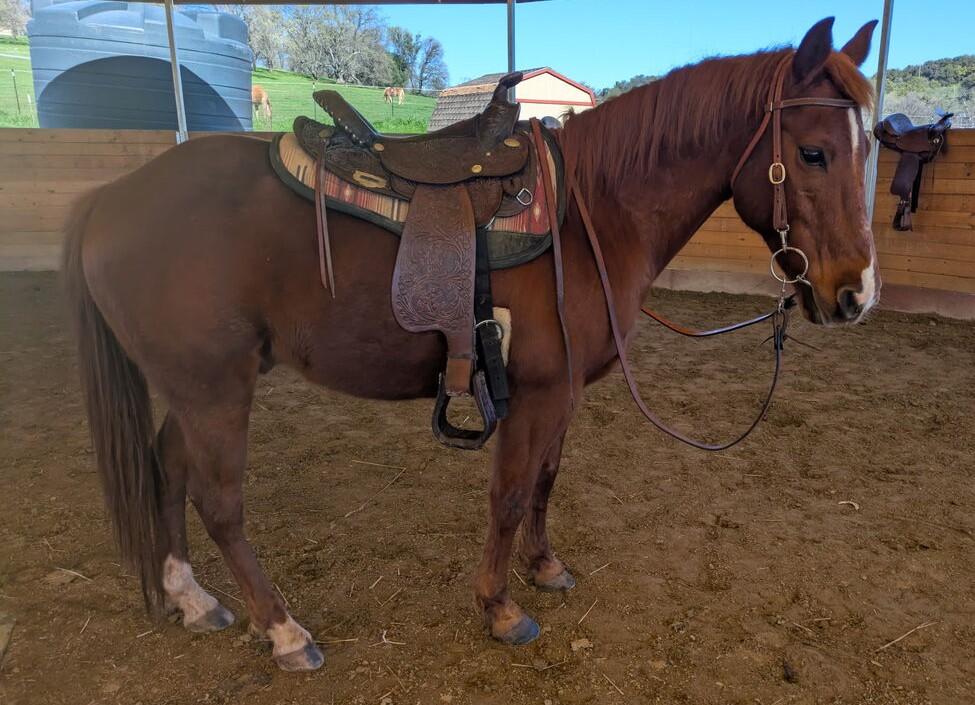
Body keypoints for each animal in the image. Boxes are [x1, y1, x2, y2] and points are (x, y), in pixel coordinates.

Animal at [63, 18, 879, 672]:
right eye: (812, 153)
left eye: (868, 147)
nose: (854, 294)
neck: (593, 212)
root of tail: (110, 197)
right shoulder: (533, 393)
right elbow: (510, 493)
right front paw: (501, 607)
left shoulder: (563, 393)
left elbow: (546, 480)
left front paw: (545, 567)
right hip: (214, 389)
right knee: (220, 501)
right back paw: (285, 630)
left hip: (195, 387)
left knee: (167, 469)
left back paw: (191, 597)